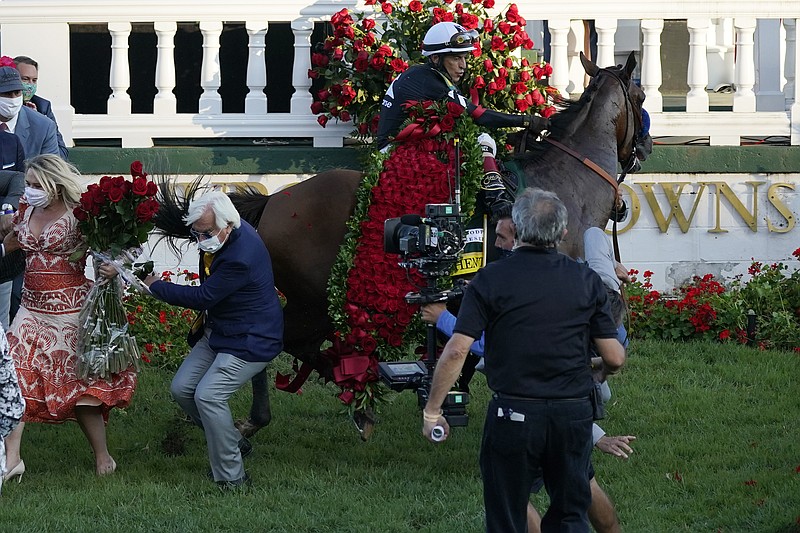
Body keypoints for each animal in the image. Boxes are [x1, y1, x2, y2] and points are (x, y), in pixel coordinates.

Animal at [152, 50, 648, 434]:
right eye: (641, 97)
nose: (642, 149)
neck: (564, 187)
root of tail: (272, 201)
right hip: (313, 299)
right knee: (266, 339)